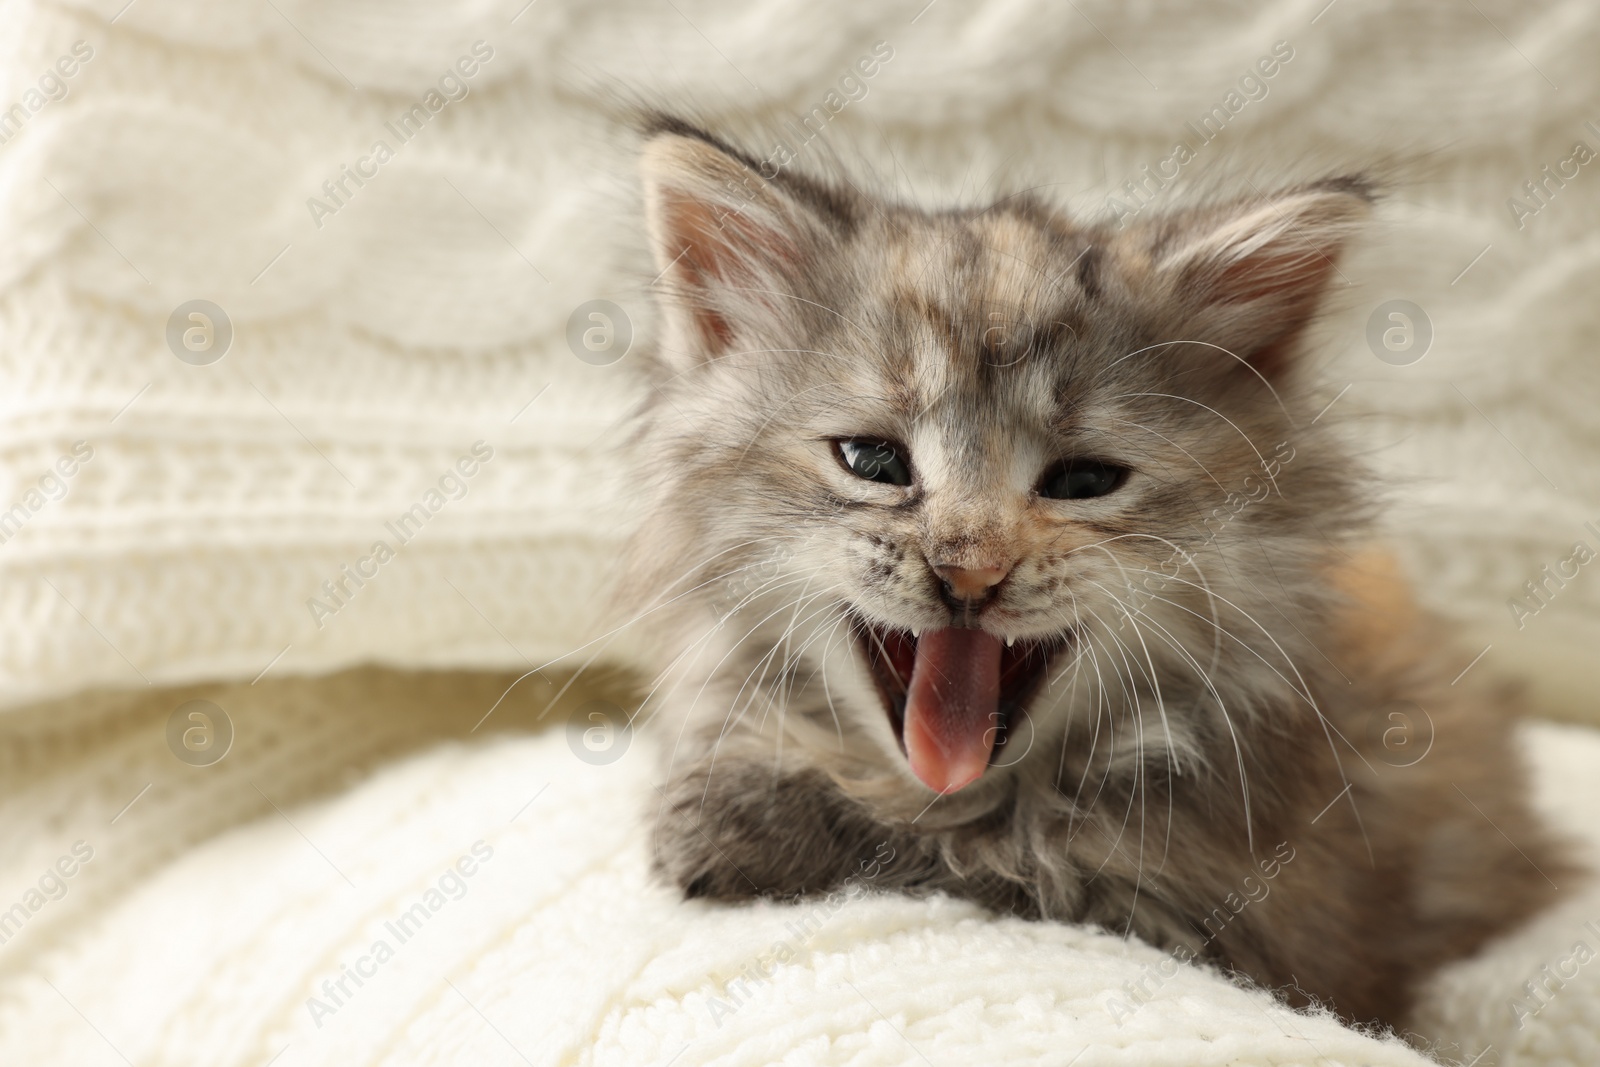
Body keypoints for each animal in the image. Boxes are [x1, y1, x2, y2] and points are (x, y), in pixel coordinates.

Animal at [617, 115, 1568, 1023]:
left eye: (1082, 482)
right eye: (873, 461)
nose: (970, 571)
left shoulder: (1236, 918)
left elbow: (980, 848)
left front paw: (741, 818)